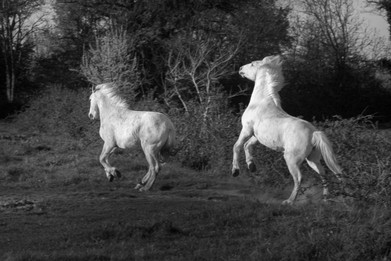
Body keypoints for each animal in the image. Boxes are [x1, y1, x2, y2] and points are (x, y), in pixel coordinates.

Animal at [233, 54, 344, 204]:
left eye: (252, 64)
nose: (240, 69)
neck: (260, 103)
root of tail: (314, 133)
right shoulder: (256, 136)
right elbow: (247, 146)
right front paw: (252, 166)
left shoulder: (246, 129)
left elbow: (237, 146)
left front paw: (235, 171)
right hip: (312, 159)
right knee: (323, 174)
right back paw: (325, 198)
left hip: (291, 158)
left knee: (299, 178)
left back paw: (289, 201)